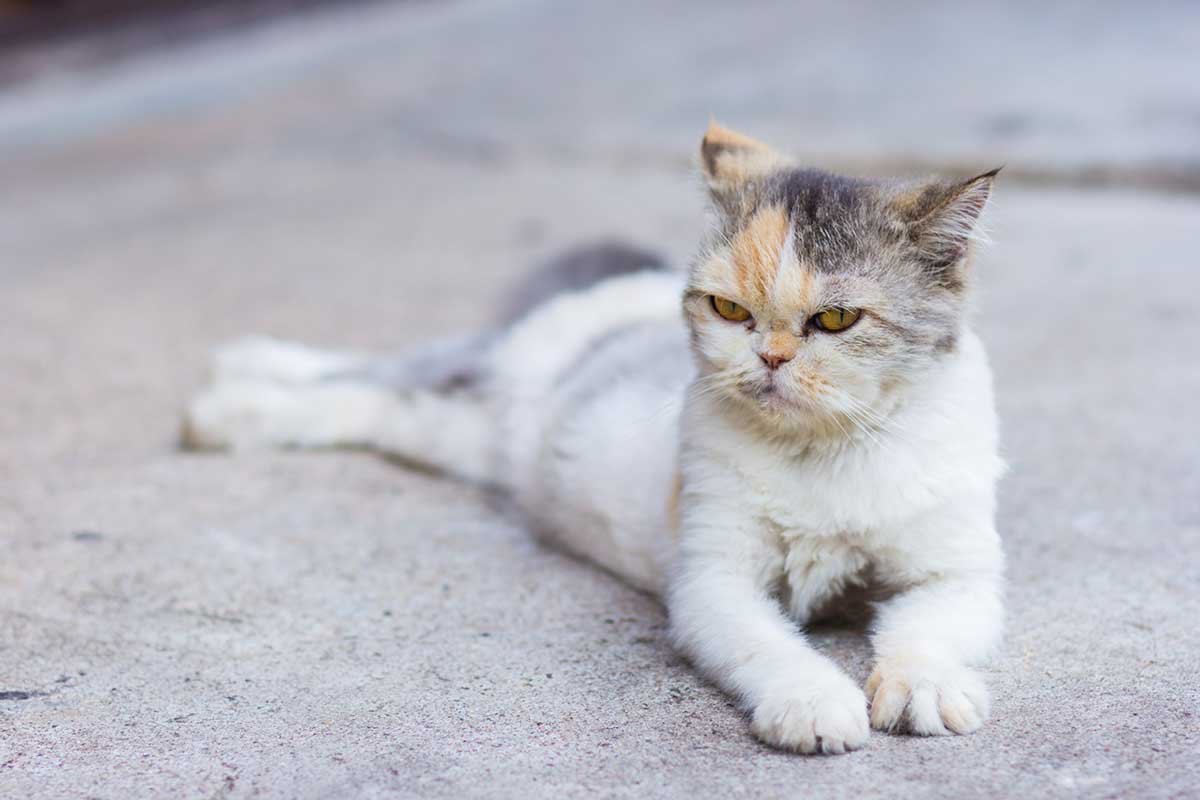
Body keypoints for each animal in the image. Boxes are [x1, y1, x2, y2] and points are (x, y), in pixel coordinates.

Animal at [187, 122, 1008, 753]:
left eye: (836, 320)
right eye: (730, 310)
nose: (769, 358)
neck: (823, 453)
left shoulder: (960, 572)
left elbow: (927, 628)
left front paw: (925, 686)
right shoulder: (712, 581)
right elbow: (771, 644)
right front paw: (813, 702)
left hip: (458, 435)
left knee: (372, 404)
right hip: (472, 369)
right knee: (368, 372)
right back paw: (232, 395)